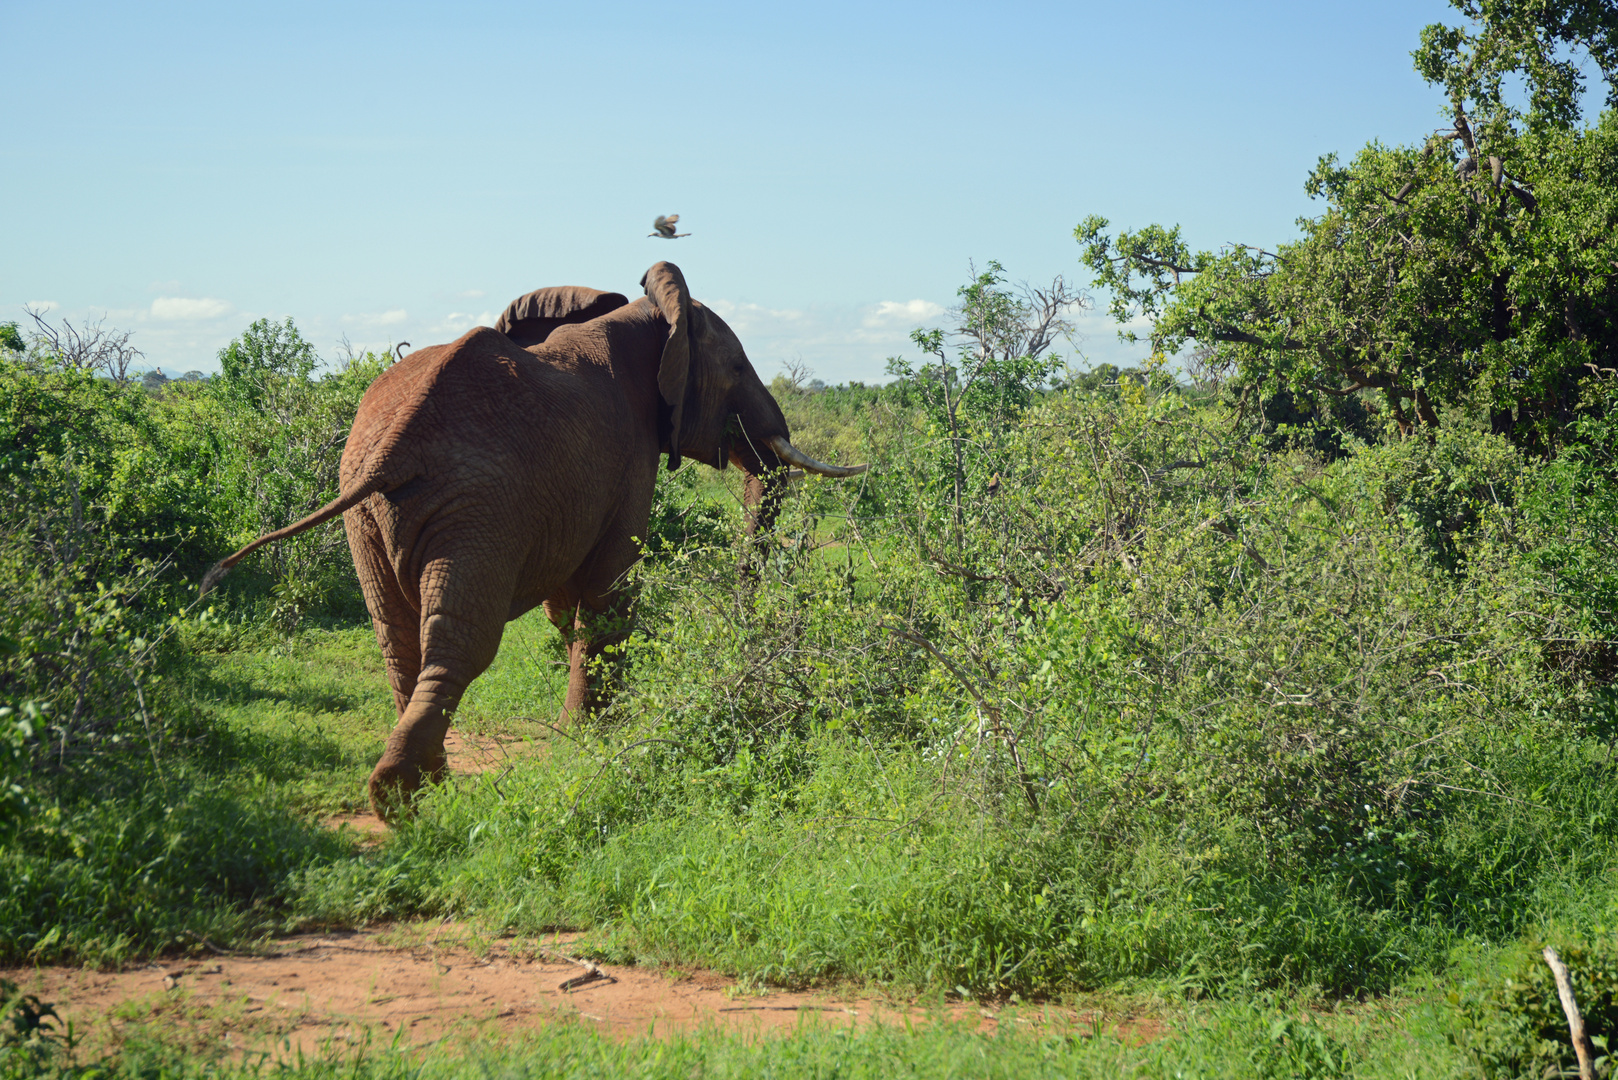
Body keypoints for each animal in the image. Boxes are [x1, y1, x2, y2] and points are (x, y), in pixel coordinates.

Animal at [208, 262, 867, 819]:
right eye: (737, 369)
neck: (651, 317)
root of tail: (393, 449)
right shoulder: (630, 455)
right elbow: (608, 591)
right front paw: (591, 736)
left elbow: (569, 601)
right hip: (477, 508)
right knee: (463, 641)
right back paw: (404, 798)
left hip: (369, 516)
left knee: (396, 638)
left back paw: (424, 784)